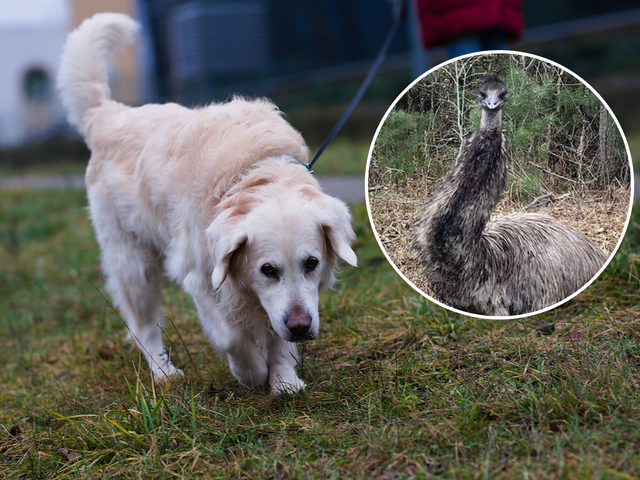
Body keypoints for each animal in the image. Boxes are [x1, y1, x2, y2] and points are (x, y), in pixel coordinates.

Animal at [57, 13, 358, 396]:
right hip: (132, 262)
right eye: (267, 269)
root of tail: (107, 113)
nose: (302, 327)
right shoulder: (200, 277)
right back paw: (164, 373)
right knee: (144, 328)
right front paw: (252, 373)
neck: (255, 172)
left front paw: (283, 381)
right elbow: (231, 337)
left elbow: (276, 336)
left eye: (312, 263)